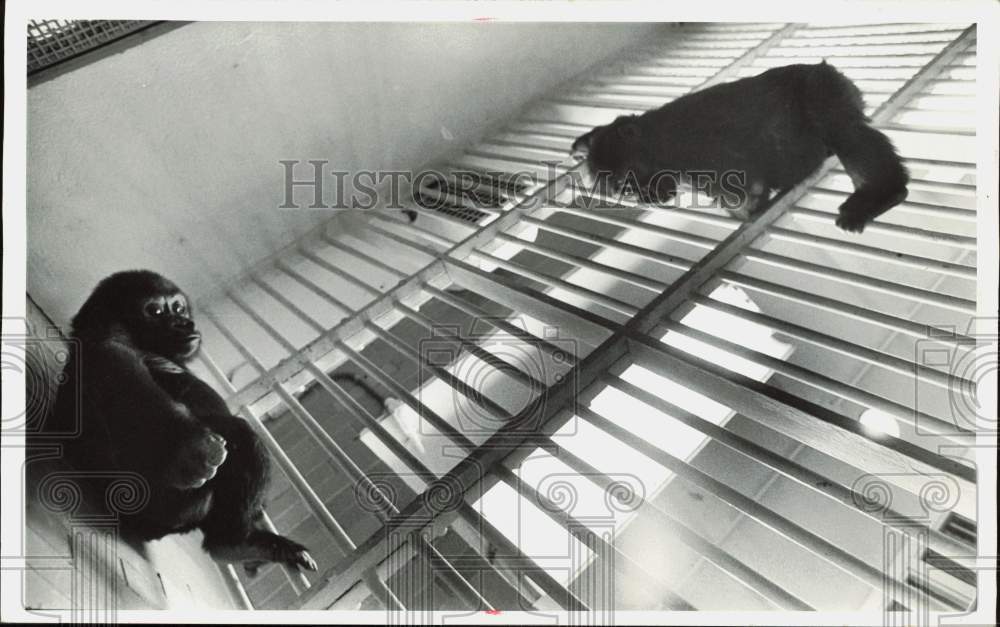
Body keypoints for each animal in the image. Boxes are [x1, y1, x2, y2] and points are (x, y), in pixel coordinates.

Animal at [43, 270, 314, 576]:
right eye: (156, 311)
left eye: (178, 308)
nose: (184, 322)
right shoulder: (107, 337)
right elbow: (115, 361)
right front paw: (190, 448)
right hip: (166, 504)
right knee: (241, 434)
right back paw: (231, 542)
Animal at [572, 62, 908, 233]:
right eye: (623, 190)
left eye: (628, 180)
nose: (644, 196)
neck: (656, 140)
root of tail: (826, 69)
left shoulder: (692, 146)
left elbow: (743, 182)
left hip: (821, 88)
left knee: (845, 132)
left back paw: (881, 192)